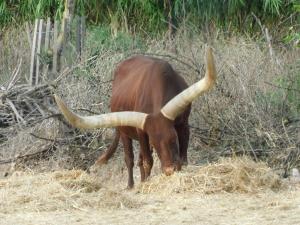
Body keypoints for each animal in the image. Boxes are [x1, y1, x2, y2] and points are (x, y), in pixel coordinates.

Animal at [55, 45, 216, 188]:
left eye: (173, 139)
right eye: (155, 143)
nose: (169, 170)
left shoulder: (183, 125)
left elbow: (183, 158)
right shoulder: (143, 132)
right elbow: (148, 161)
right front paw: (146, 183)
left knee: (139, 159)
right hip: (124, 132)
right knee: (130, 159)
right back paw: (131, 185)